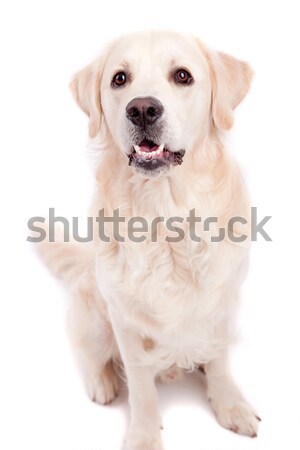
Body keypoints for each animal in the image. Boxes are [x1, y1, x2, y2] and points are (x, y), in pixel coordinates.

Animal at [38, 30, 260, 450]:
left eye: (183, 76)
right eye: (120, 79)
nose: (142, 109)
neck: (164, 215)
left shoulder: (222, 303)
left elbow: (220, 361)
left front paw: (230, 405)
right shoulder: (125, 318)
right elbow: (141, 383)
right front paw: (143, 433)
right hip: (93, 313)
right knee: (90, 352)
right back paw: (102, 382)